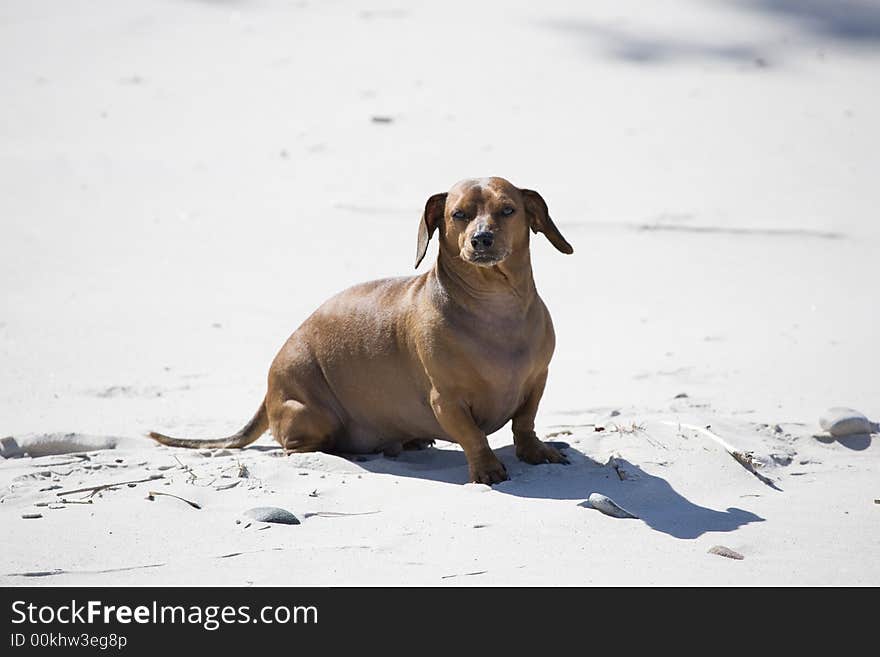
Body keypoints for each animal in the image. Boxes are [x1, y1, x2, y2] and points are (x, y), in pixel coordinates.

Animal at [151, 177, 576, 484]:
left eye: (508, 210)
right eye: (459, 214)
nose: (481, 239)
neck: (493, 309)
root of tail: (269, 389)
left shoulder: (537, 381)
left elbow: (524, 422)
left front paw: (535, 451)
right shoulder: (446, 400)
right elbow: (474, 437)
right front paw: (486, 468)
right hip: (311, 414)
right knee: (297, 446)